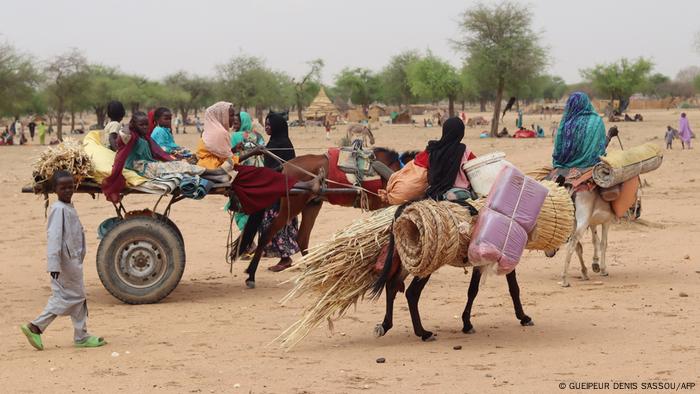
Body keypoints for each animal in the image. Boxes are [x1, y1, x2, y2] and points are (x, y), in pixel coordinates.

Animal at [235, 146, 422, 288]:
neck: (402, 171)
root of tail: (285, 167)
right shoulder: (387, 206)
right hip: (292, 205)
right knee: (268, 233)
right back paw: (251, 275)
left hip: (312, 204)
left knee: (302, 237)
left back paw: (313, 271)